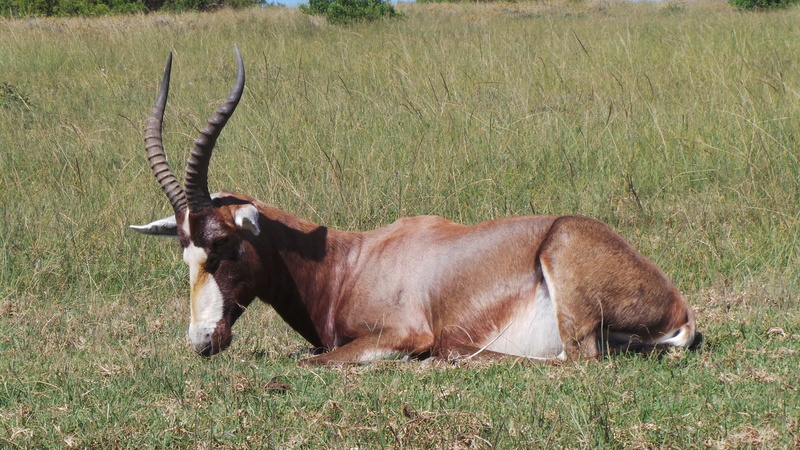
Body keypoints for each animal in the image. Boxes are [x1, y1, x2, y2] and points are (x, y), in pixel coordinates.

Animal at [131, 47, 696, 365]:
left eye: (223, 244)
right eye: (184, 250)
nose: (202, 342)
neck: (349, 262)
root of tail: (678, 305)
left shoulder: (401, 334)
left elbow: (311, 361)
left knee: (574, 361)